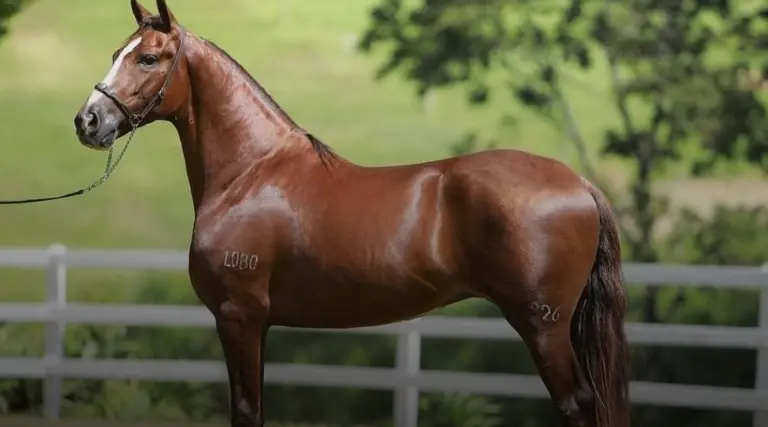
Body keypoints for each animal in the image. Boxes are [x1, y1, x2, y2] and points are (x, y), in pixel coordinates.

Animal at [72, 1, 631, 426]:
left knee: (578, 406)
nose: (88, 121)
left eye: (148, 58)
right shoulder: (258, 323)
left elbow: (247, 411)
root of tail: (579, 183)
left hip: (543, 327)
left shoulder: (238, 316)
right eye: (117, 53)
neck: (250, 173)